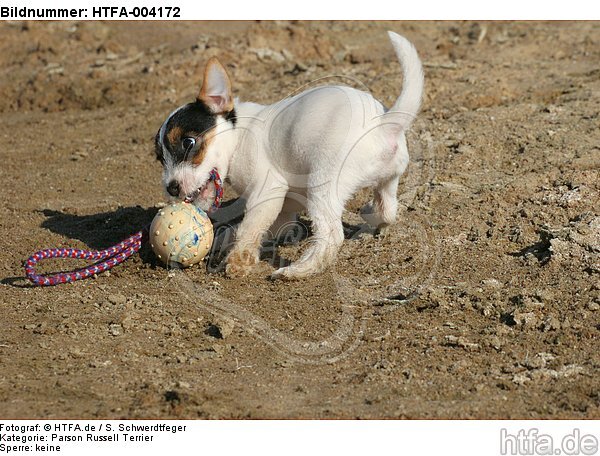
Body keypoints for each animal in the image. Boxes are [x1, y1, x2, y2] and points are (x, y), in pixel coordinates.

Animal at [156, 31, 426, 278]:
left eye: (188, 143)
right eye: (160, 159)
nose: (171, 188)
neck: (239, 134)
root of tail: (385, 124)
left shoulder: (268, 193)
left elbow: (248, 228)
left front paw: (238, 262)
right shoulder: (284, 207)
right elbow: (249, 229)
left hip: (322, 185)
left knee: (331, 235)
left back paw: (297, 270)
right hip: (387, 181)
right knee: (388, 211)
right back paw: (372, 216)